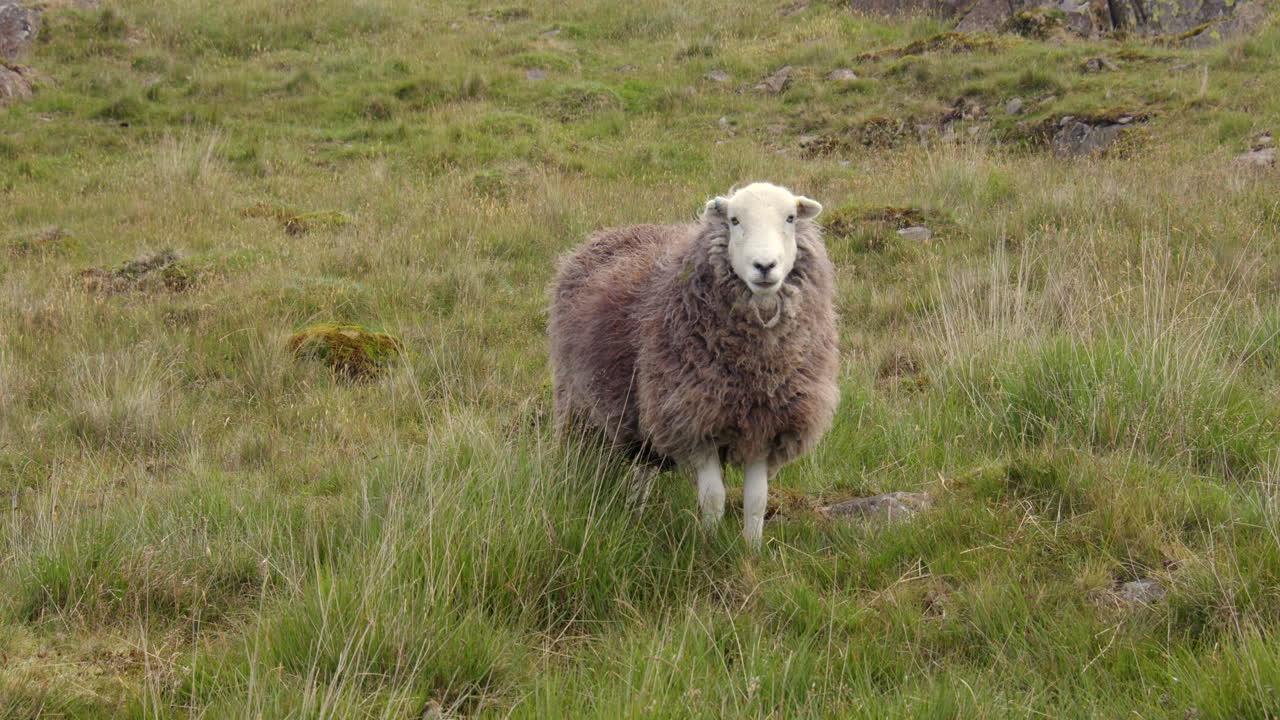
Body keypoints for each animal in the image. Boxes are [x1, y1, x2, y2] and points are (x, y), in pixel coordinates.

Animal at [548, 182, 840, 546]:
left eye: (789, 218)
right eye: (734, 220)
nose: (765, 265)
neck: (755, 370)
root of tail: (606, 235)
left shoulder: (765, 426)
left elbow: (757, 500)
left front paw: (752, 548)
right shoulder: (693, 422)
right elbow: (713, 497)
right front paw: (709, 544)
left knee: (645, 465)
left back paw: (635, 510)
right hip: (580, 401)